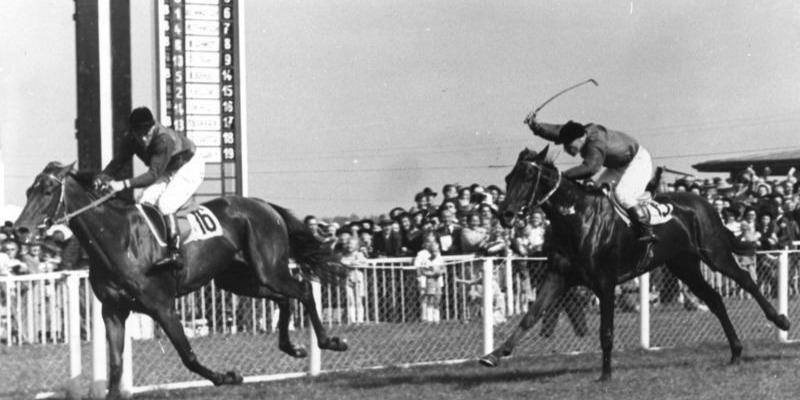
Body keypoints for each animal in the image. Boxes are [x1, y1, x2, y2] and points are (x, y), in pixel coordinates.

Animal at [15, 162, 350, 396]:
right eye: (28, 191)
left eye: (47, 191)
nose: (19, 230)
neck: (117, 239)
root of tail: (265, 205)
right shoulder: (113, 311)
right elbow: (116, 367)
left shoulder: (162, 306)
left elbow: (187, 355)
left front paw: (227, 377)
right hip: (239, 279)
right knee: (283, 298)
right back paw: (292, 347)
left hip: (269, 269)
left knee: (302, 289)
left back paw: (329, 341)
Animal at [478, 147, 792, 382]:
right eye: (508, 177)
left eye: (529, 176)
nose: (505, 215)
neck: (577, 219)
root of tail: (705, 202)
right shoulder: (558, 276)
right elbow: (530, 316)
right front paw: (493, 355)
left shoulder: (605, 283)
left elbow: (606, 332)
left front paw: (605, 375)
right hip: (684, 265)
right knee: (715, 299)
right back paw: (736, 352)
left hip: (714, 253)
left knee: (746, 280)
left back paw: (781, 321)